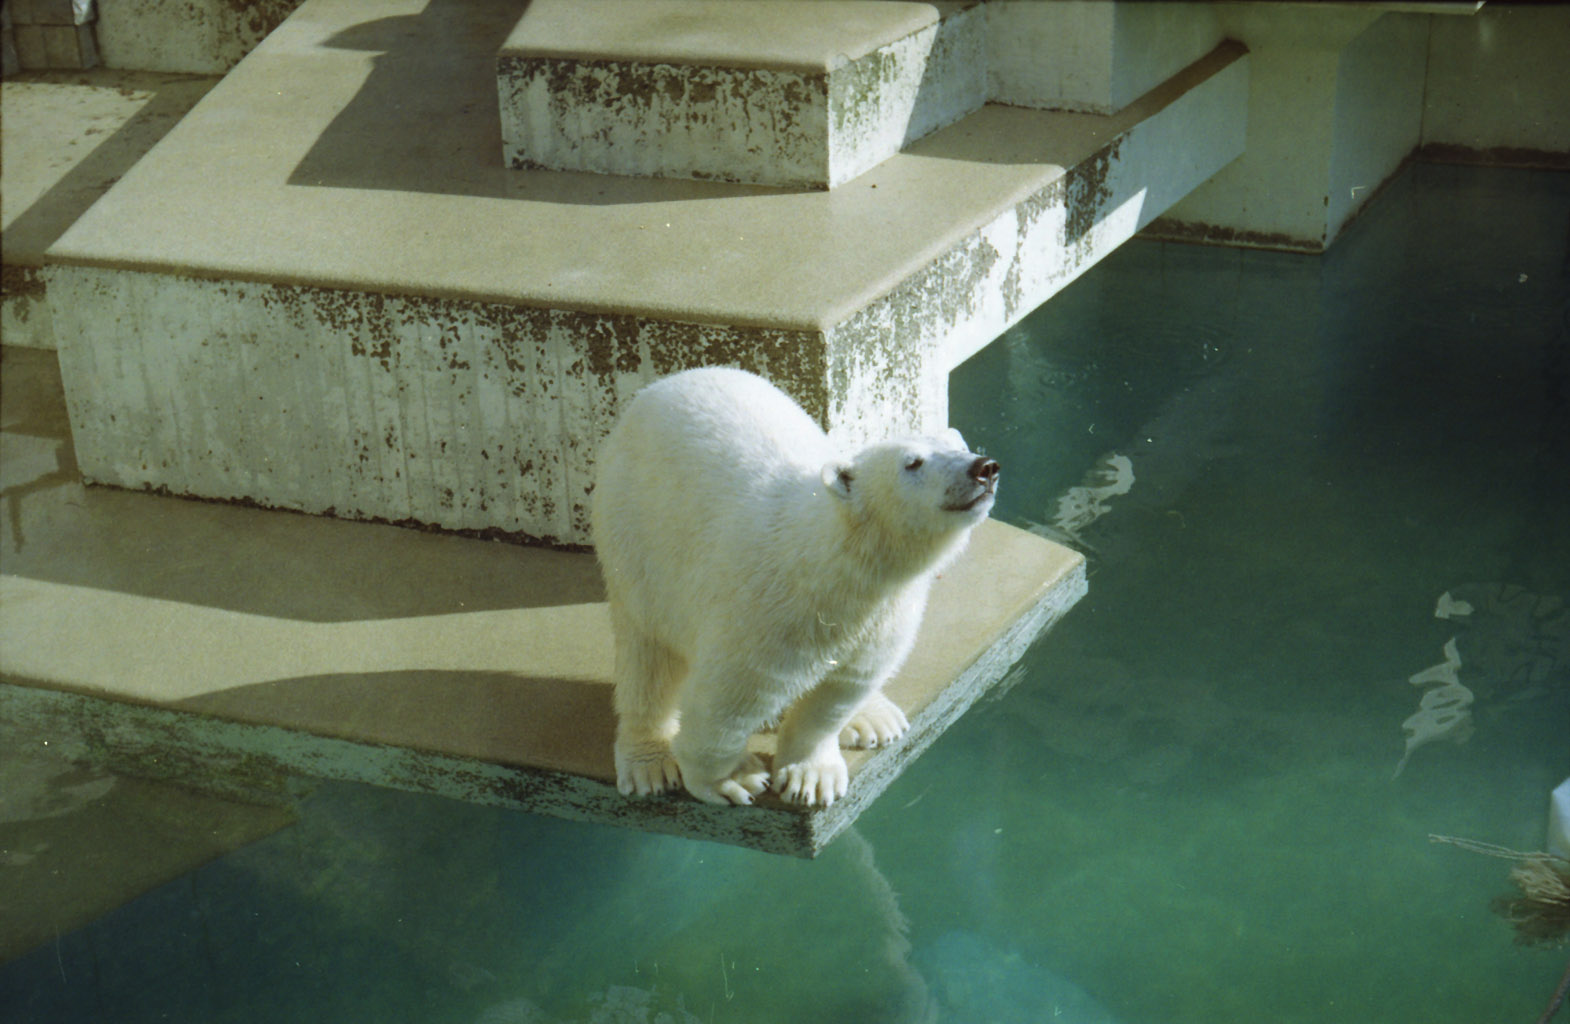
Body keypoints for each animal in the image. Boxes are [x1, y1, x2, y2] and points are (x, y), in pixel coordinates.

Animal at [590, 367, 992, 810]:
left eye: (959, 446)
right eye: (913, 462)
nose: (983, 467)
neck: (831, 561)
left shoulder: (880, 616)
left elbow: (838, 692)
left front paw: (811, 777)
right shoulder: (768, 611)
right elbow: (729, 702)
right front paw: (734, 779)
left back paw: (876, 719)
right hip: (637, 541)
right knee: (648, 660)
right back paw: (650, 763)